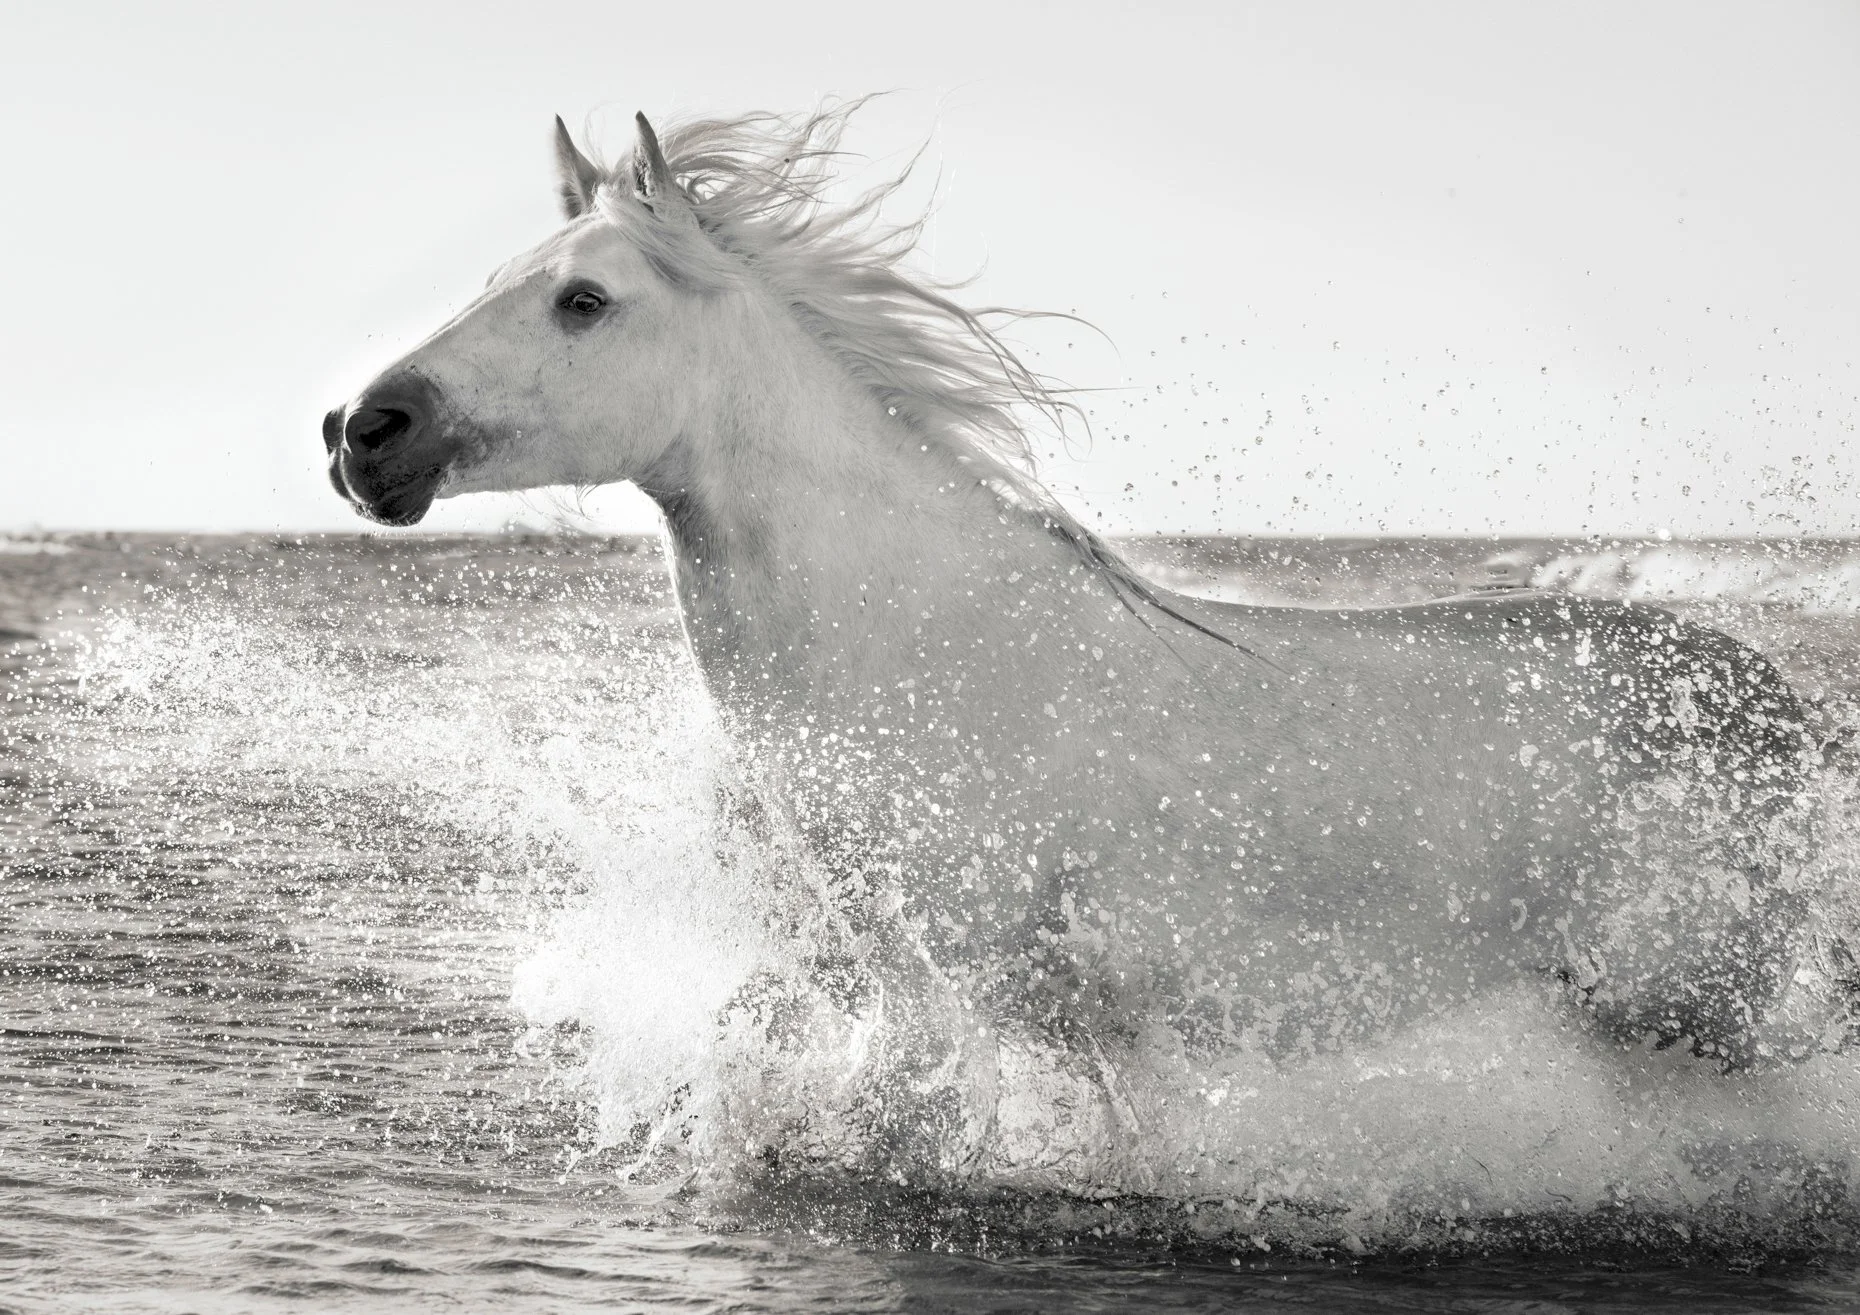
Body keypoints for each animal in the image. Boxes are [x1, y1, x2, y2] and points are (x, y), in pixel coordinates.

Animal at [324, 105, 1829, 1072]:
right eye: (501, 278)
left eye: (583, 301)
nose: (362, 430)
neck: (920, 648)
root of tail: (1776, 705)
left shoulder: (1026, 997)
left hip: (1688, 1006)